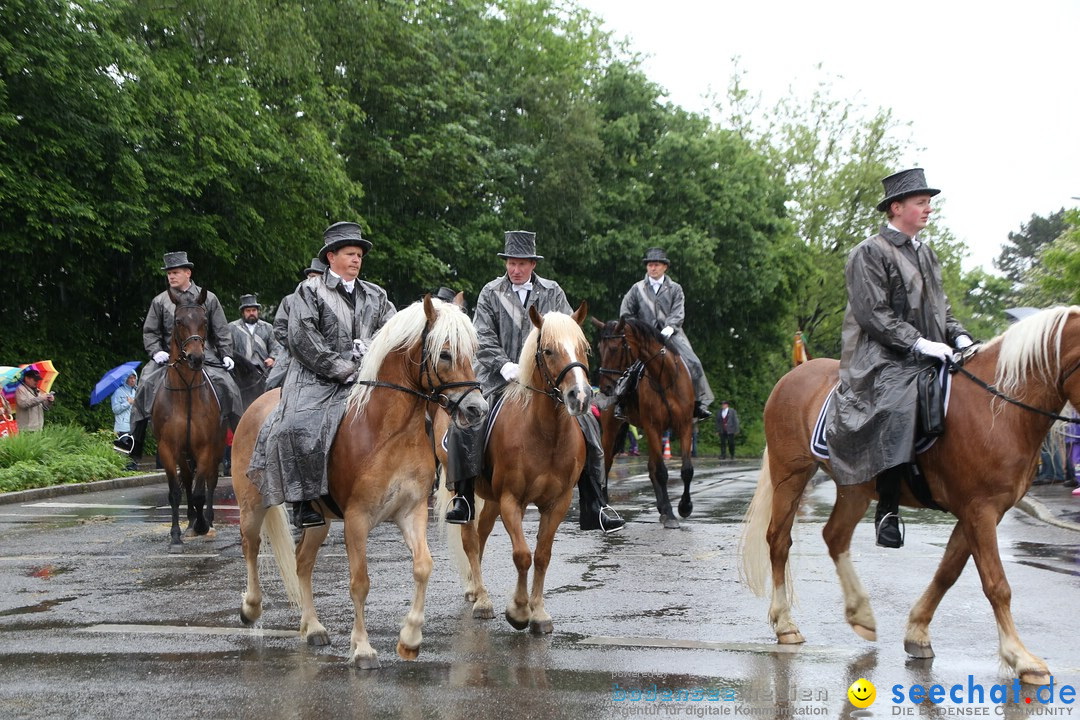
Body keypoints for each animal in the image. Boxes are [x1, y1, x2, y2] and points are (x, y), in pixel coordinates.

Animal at [152, 287, 227, 552]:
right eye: (178, 321)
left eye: (204, 321)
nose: (195, 358)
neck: (185, 393)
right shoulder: (167, 448)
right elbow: (176, 491)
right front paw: (175, 535)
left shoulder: (205, 448)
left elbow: (199, 492)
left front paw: (203, 525)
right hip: (183, 454)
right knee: (186, 478)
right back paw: (192, 520)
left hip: (216, 449)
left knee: (210, 482)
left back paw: (207, 521)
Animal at [237, 295, 494, 669]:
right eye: (445, 354)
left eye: (473, 351)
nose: (477, 410)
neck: (387, 431)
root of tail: (254, 407)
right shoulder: (356, 520)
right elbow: (360, 582)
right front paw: (362, 648)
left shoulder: (411, 512)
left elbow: (423, 567)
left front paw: (410, 639)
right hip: (252, 505)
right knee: (251, 546)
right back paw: (251, 608)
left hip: (319, 521)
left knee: (302, 561)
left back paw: (313, 627)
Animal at [436, 304, 591, 634]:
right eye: (548, 350)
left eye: (583, 349)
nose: (581, 397)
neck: (546, 435)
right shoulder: (511, 500)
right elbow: (522, 555)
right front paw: (519, 611)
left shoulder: (557, 503)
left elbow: (542, 555)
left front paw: (539, 613)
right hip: (468, 494)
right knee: (470, 540)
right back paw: (482, 601)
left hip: (491, 500)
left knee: (481, 536)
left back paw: (475, 588)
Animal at [596, 317, 695, 526]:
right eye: (599, 348)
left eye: (615, 349)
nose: (606, 388)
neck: (664, 378)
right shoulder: (653, 427)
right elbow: (661, 472)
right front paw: (670, 514)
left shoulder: (685, 426)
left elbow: (686, 470)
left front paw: (684, 507)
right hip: (611, 429)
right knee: (606, 461)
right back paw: (604, 503)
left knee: (650, 467)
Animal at [743, 306, 1080, 686]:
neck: (997, 408)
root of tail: (793, 375)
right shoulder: (980, 511)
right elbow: (997, 584)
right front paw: (1020, 658)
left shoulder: (976, 513)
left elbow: (948, 572)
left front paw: (917, 633)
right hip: (791, 474)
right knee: (779, 541)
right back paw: (785, 624)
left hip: (853, 486)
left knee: (835, 536)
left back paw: (861, 614)